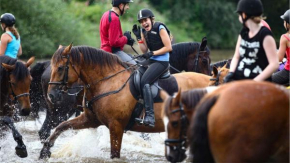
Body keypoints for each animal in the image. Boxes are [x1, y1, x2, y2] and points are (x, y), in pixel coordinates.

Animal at [39, 44, 213, 159]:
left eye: (60, 68)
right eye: (205, 61)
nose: (52, 95)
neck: (107, 81)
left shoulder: (116, 127)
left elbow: (115, 153)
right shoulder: (90, 120)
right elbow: (61, 127)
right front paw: (45, 151)